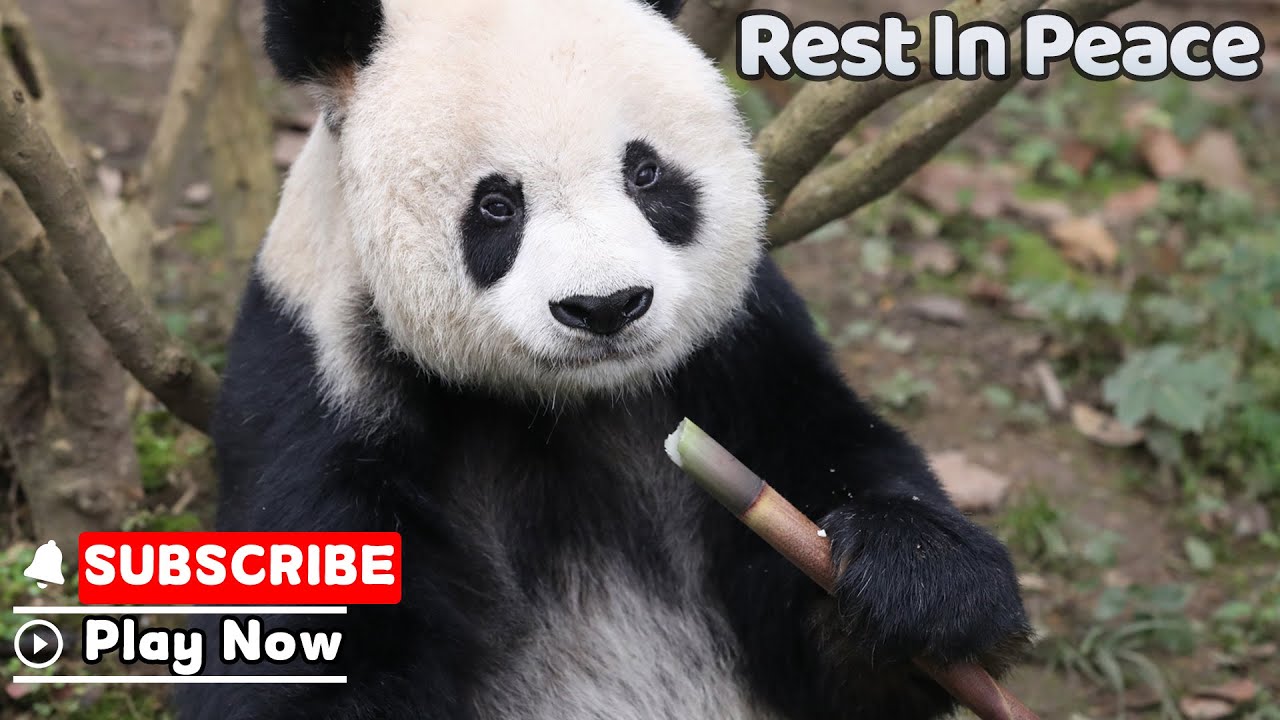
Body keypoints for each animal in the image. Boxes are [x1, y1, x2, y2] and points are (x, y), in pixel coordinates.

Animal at [177, 0, 1032, 718]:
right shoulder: (324, 383)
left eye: (645, 173)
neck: (565, 405)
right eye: (497, 205)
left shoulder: (742, 353)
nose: (606, 307)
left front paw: (918, 578)